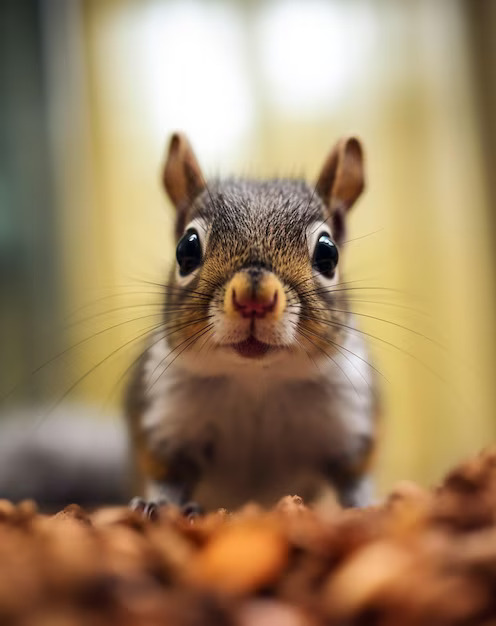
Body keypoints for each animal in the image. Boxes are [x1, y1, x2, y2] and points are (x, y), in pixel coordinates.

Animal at [125, 130, 380, 512]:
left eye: (328, 253)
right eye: (186, 249)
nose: (253, 300)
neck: (257, 380)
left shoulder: (351, 421)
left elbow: (354, 479)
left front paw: (369, 506)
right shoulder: (165, 421)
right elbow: (170, 477)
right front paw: (159, 505)